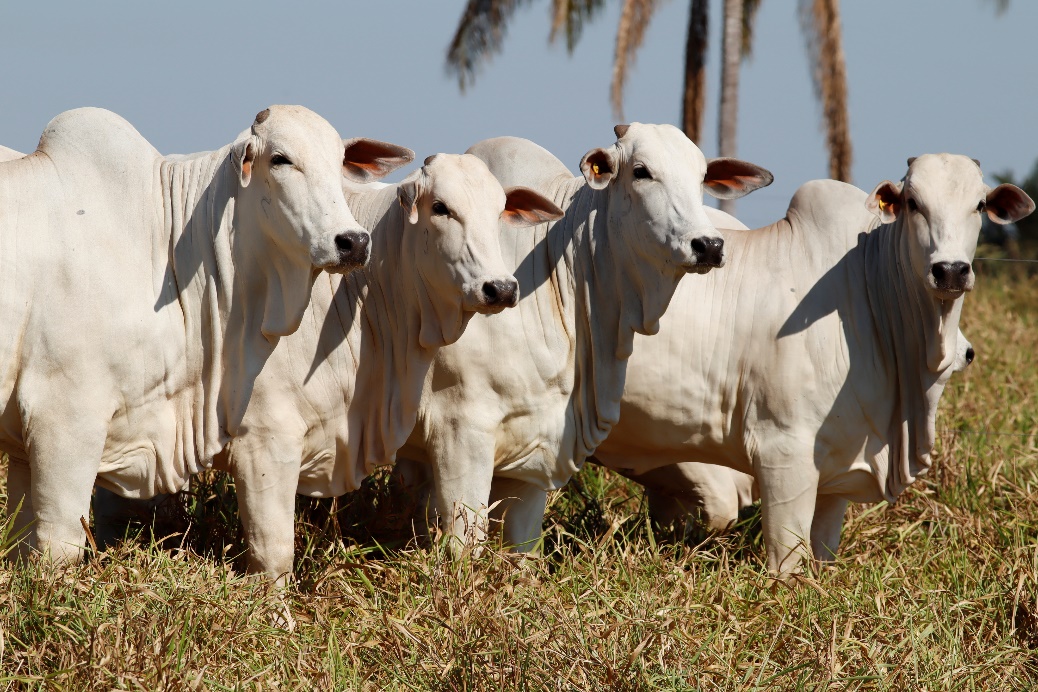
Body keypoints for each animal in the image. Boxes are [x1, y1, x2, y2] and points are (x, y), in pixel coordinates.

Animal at [1, 106, 413, 564]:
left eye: (339, 159)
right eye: (280, 159)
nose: (353, 242)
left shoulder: (23, 443)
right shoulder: (64, 413)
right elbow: (58, 545)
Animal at [589, 156, 1033, 572]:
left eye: (979, 205)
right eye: (913, 203)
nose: (951, 271)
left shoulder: (837, 471)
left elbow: (822, 551)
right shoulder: (782, 452)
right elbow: (788, 561)